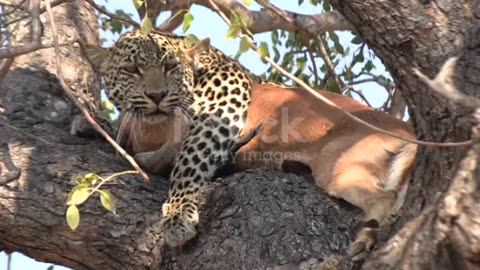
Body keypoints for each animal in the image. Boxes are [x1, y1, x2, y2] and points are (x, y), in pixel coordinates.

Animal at [82, 29, 262, 247]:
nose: (157, 95)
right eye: (131, 69)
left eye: (170, 66)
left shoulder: (224, 104)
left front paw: (179, 212)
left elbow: (190, 160)